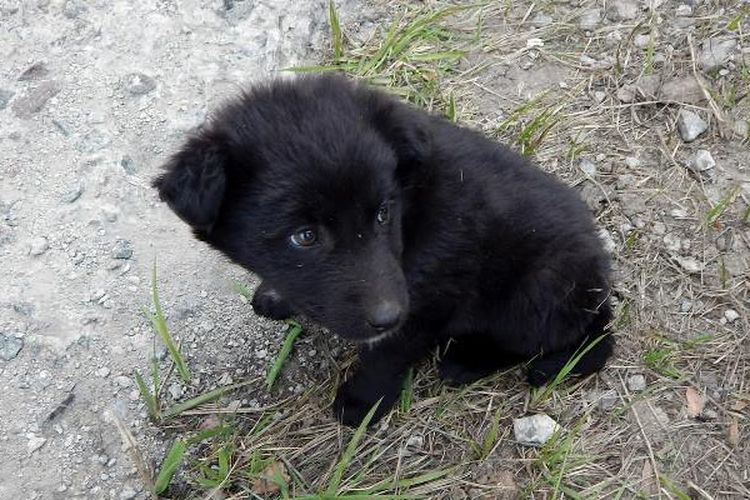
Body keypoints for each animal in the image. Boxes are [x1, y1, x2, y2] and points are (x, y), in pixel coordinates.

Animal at [153, 74, 612, 426]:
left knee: (548, 338)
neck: (411, 210)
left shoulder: (429, 298)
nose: (388, 315)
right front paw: (275, 295)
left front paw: (361, 403)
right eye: (305, 236)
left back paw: (469, 360)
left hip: (537, 287)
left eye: (382, 213)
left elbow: (387, 355)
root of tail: (601, 287)